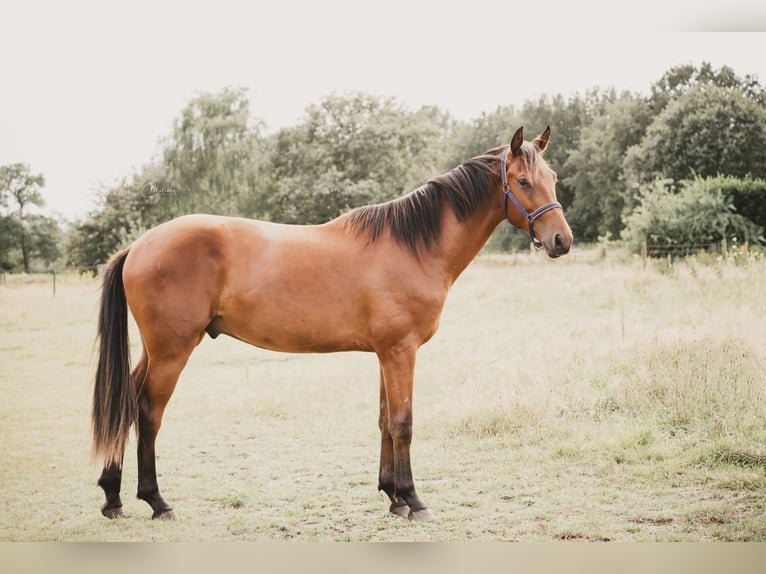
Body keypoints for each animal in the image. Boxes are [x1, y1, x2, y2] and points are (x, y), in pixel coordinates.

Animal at [91, 128, 568, 524]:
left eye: (553, 178)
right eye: (522, 182)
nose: (562, 240)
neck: (414, 246)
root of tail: (140, 245)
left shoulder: (387, 353)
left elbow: (384, 419)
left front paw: (392, 497)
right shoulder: (401, 351)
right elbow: (403, 423)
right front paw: (414, 501)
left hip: (156, 351)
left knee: (127, 402)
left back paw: (113, 497)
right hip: (172, 351)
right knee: (148, 412)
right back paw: (157, 501)